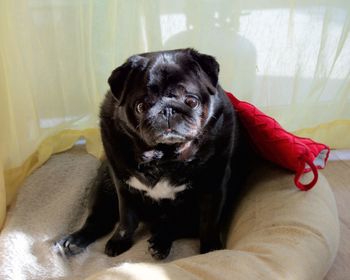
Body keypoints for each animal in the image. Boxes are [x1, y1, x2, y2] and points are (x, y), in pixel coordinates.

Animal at [56, 47, 253, 260]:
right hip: (104, 185)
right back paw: (74, 241)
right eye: (141, 106)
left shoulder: (213, 186)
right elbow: (126, 218)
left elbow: (209, 222)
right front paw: (120, 241)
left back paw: (160, 242)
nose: (167, 109)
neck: (163, 157)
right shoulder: (123, 186)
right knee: (99, 219)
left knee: (176, 226)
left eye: (191, 101)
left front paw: (211, 250)